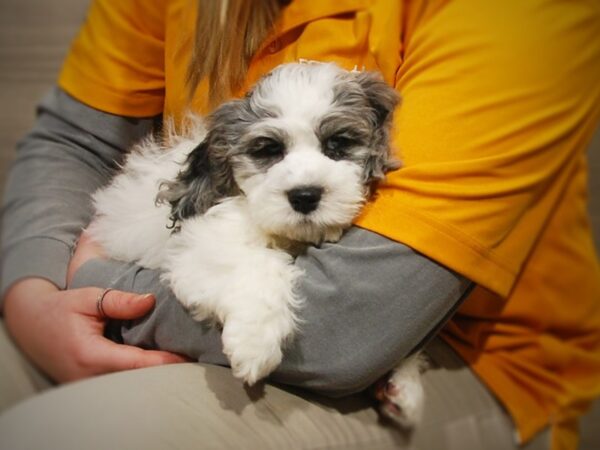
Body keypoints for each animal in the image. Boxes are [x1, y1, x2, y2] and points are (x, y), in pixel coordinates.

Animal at [90, 61, 426, 428]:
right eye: (269, 150)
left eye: (338, 143)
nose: (305, 195)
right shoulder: (199, 249)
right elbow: (260, 264)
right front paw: (255, 342)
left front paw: (403, 381)